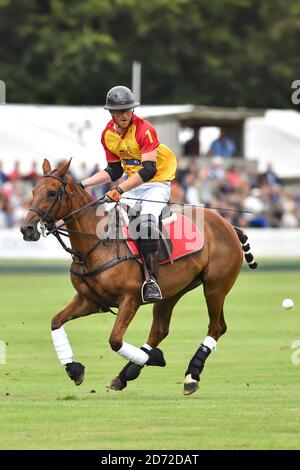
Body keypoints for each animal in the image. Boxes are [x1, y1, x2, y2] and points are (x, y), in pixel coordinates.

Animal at [19, 160, 256, 394]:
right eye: (32, 191)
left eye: (51, 193)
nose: (26, 229)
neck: (97, 244)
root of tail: (228, 224)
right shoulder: (90, 300)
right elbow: (56, 321)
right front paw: (74, 369)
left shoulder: (129, 299)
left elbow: (115, 340)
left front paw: (155, 358)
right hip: (172, 291)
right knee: (160, 330)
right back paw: (125, 375)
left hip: (215, 286)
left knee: (217, 327)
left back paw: (191, 374)